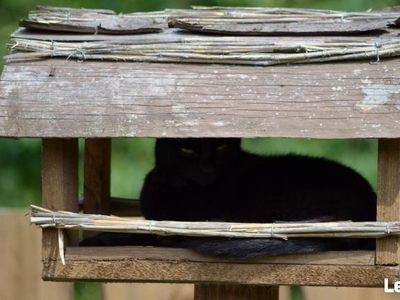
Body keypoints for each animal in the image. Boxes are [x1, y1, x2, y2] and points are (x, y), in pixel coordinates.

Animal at [80, 138, 376, 258]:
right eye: (187, 149)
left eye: (221, 146)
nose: (207, 168)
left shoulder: (181, 225)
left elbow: (139, 233)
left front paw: (96, 240)